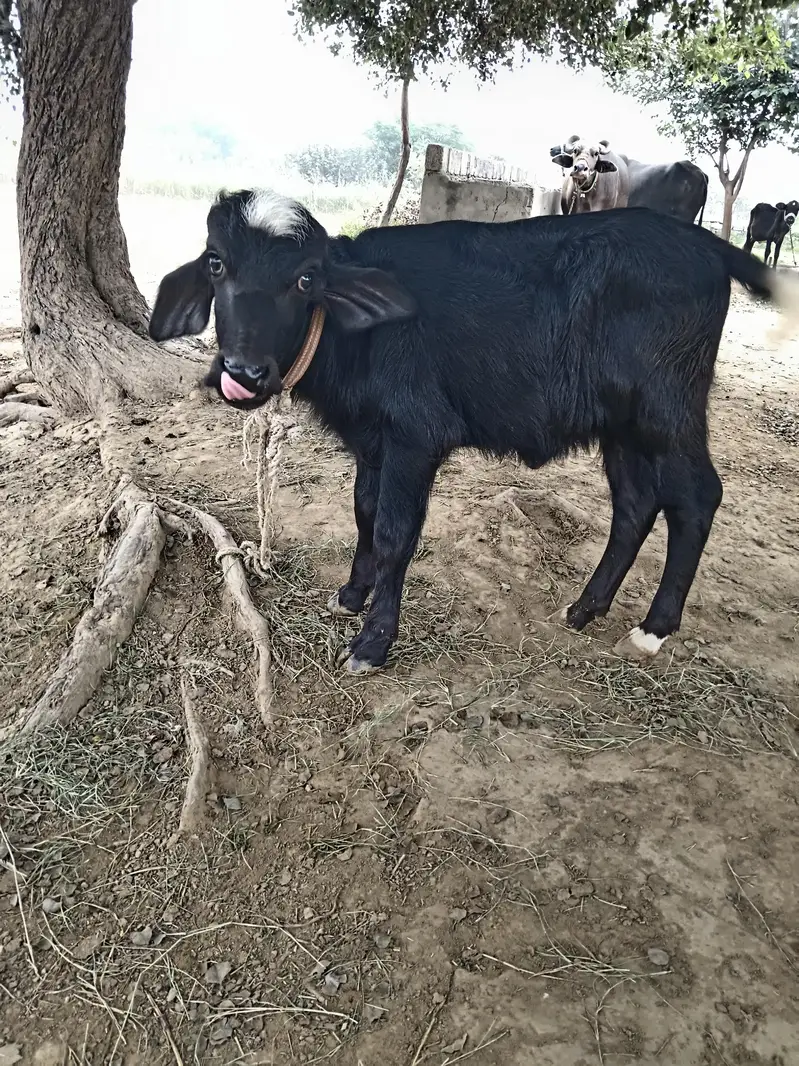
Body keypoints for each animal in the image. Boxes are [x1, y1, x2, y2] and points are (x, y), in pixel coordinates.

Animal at [148, 189, 798, 675]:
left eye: (306, 279)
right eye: (216, 264)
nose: (243, 374)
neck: (359, 337)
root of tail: (702, 243)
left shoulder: (415, 439)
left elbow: (393, 533)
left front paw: (373, 641)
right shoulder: (373, 443)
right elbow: (363, 513)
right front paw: (351, 595)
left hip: (670, 413)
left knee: (696, 497)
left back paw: (652, 630)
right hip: (624, 427)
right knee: (636, 503)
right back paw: (585, 608)